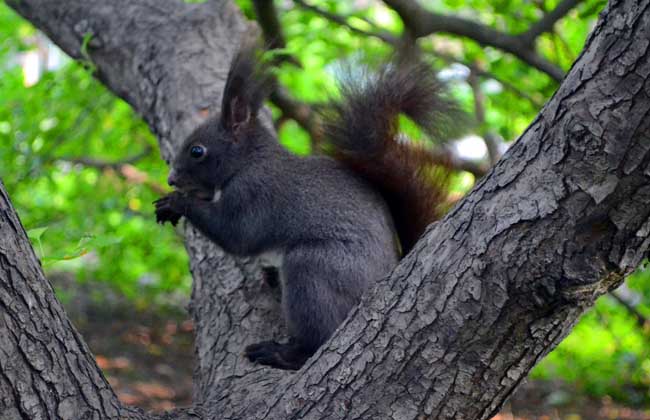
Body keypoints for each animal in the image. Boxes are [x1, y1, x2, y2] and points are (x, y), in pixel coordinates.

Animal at [154, 45, 454, 370]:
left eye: (197, 151)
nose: (171, 180)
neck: (249, 161)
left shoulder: (255, 194)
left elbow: (236, 236)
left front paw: (176, 202)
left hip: (315, 269)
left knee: (317, 338)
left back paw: (281, 353)